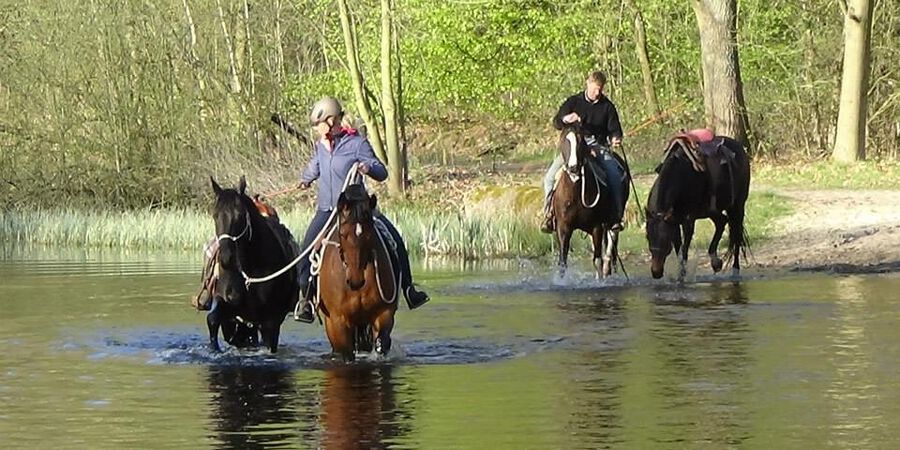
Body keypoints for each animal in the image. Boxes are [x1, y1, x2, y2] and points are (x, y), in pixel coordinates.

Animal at [208, 176, 298, 352]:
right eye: (215, 215)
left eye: (240, 215)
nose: (226, 258)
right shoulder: (230, 310)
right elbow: (213, 319)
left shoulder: (271, 321)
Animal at [318, 183, 400, 362]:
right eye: (342, 234)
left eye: (370, 233)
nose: (356, 280)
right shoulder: (338, 321)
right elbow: (347, 353)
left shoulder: (384, 313)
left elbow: (381, 343)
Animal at [552, 123, 628, 278]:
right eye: (563, 141)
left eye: (581, 141)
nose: (573, 168)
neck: (575, 194)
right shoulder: (563, 227)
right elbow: (563, 262)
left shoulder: (596, 226)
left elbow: (597, 260)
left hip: (613, 221)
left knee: (611, 245)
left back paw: (608, 270)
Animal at [648, 130, 752, 280]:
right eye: (648, 237)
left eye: (665, 240)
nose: (656, 272)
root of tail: (741, 150)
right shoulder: (674, 222)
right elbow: (679, 249)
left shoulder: (688, 221)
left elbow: (684, 250)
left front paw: (682, 276)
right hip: (712, 210)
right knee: (722, 222)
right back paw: (716, 262)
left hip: (737, 207)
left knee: (736, 236)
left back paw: (735, 270)